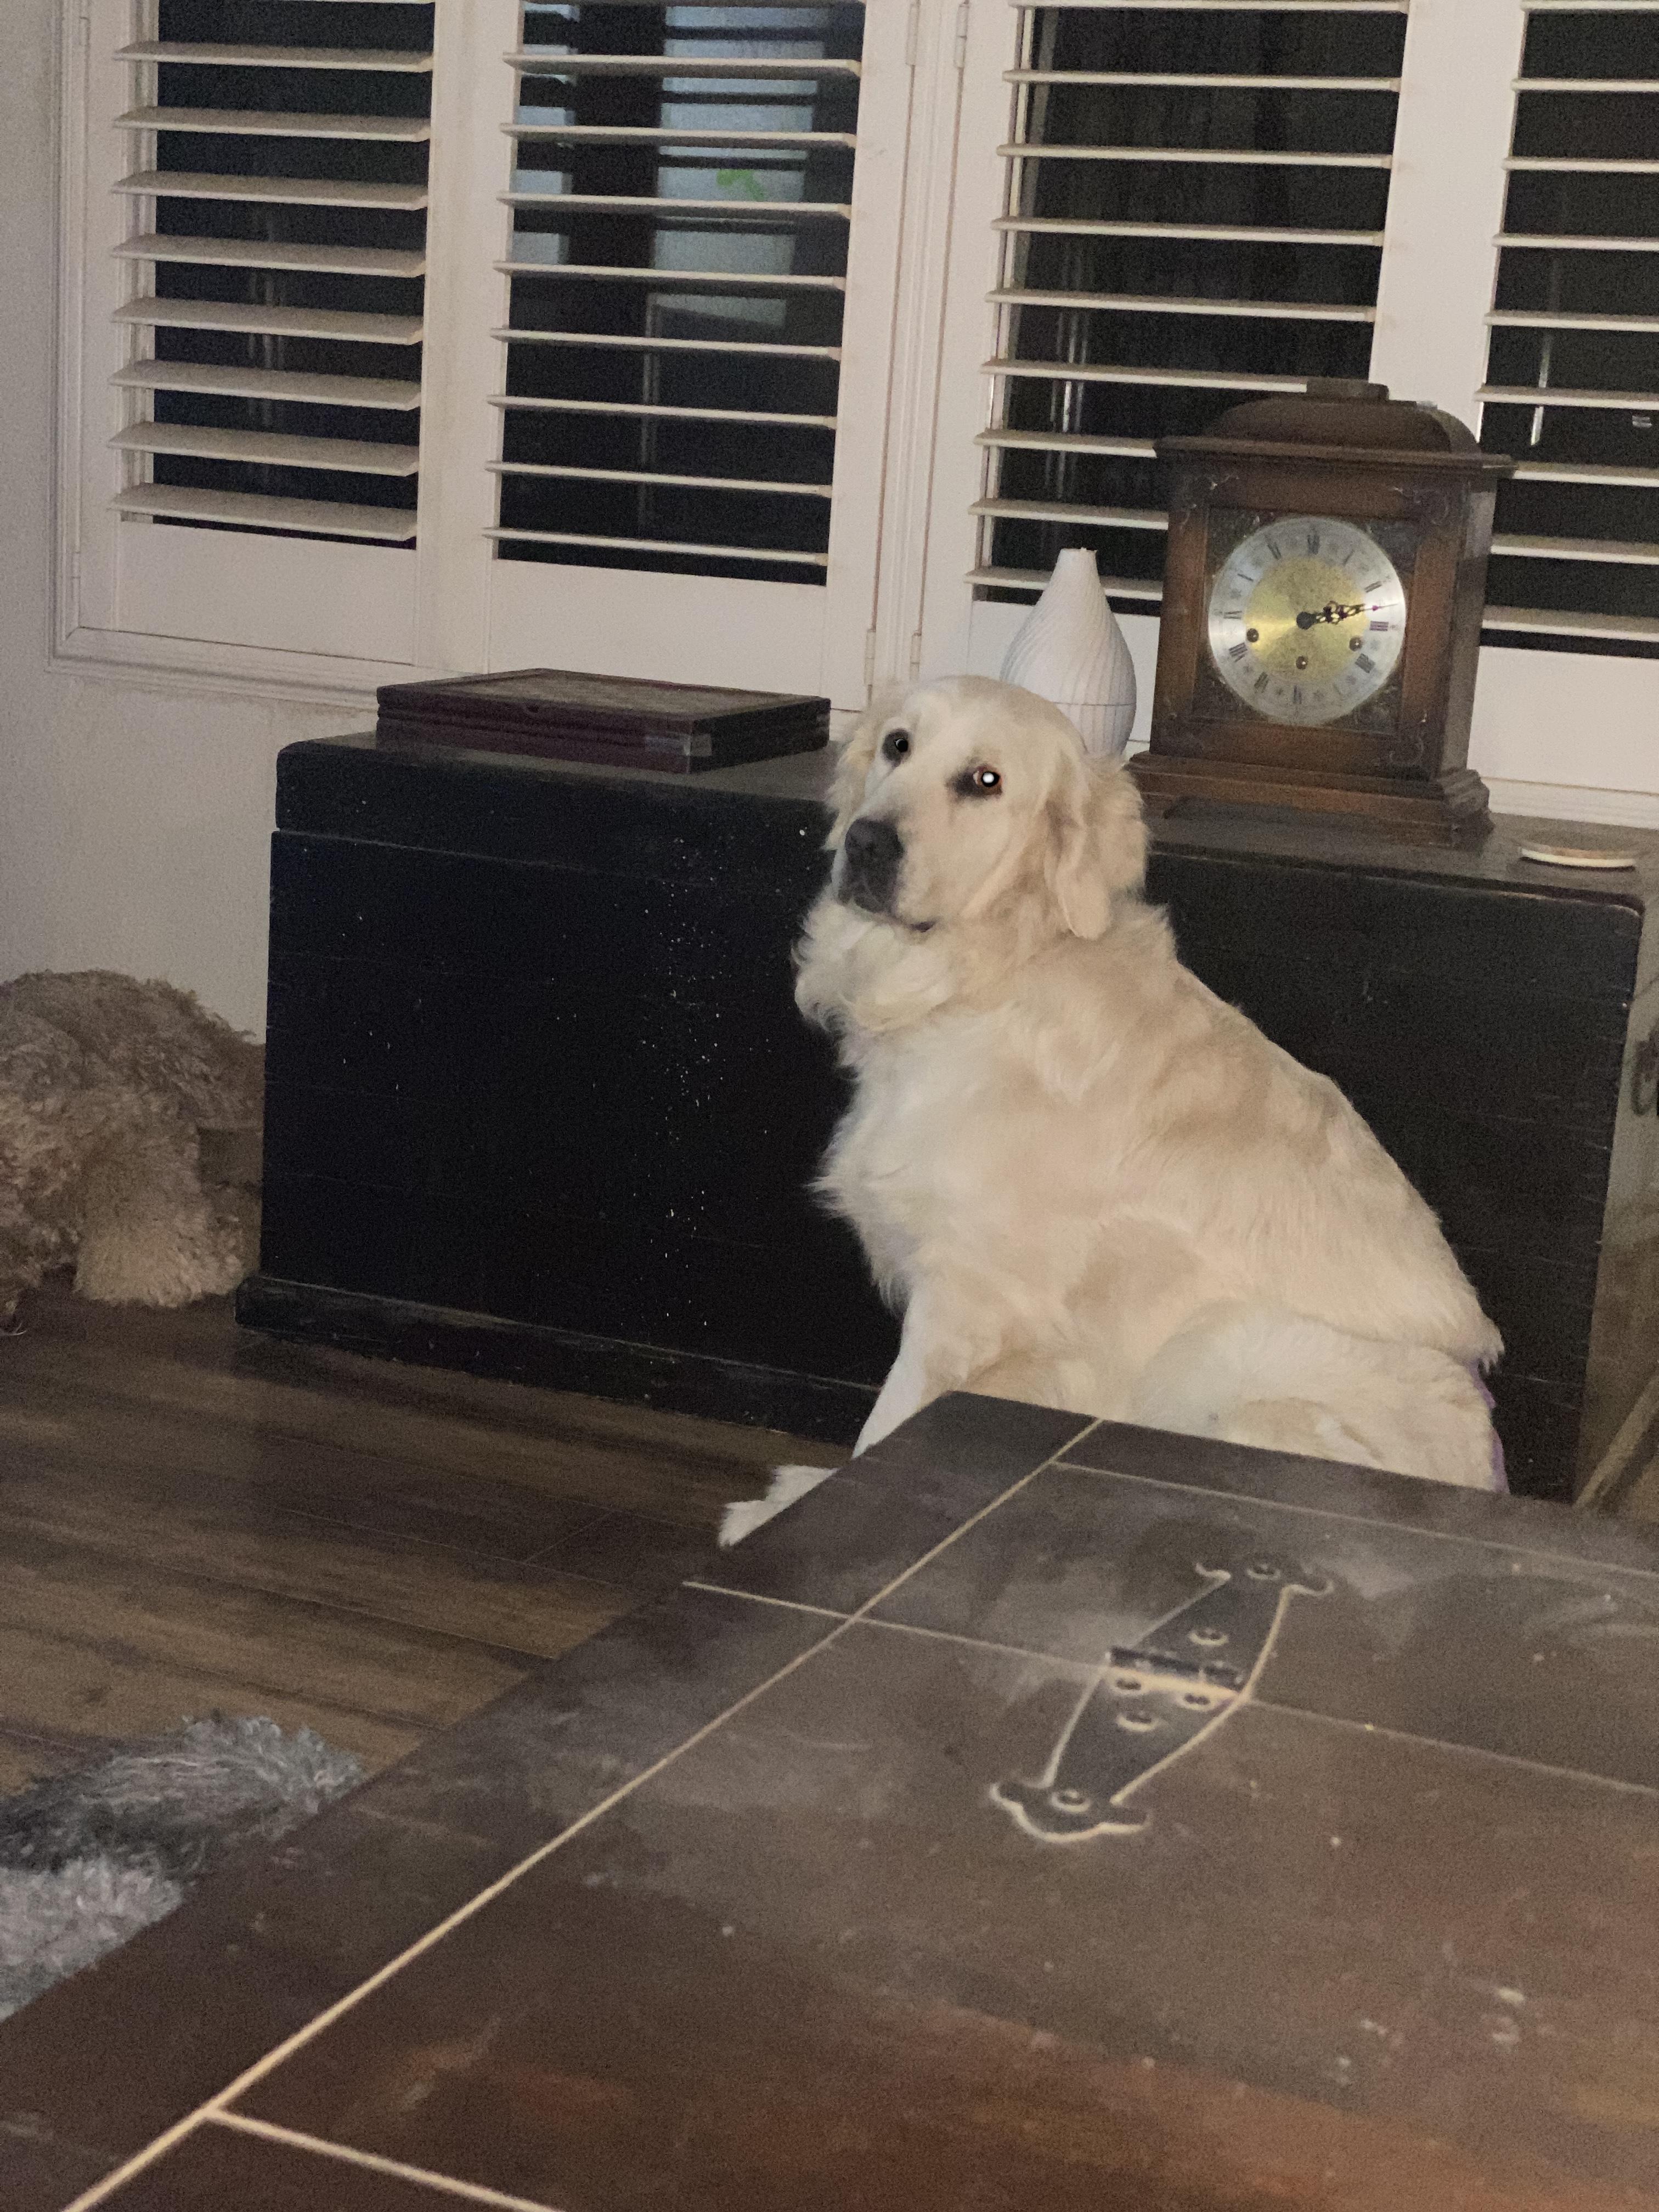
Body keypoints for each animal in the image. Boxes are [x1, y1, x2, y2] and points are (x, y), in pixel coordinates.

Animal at [720, 676, 1501, 1544]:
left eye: (984, 781)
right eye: (898, 745)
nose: (866, 844)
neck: (985, 976)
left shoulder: (966, 1297)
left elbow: (885, 1430)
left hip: (1227, 1346)